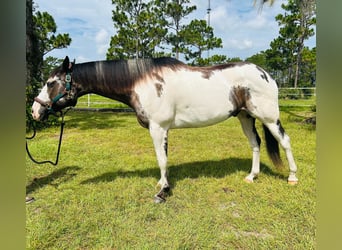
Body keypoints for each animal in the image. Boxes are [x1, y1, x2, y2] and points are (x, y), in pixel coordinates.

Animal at [32, 55, 300, 202]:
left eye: (50, 83)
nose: (35, 111)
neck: (141, 82)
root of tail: (265, 74)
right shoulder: (162, 130)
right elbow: (164, 159)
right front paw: (163, 184)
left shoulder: (158, 128)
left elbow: (162, 159)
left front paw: (163, 191)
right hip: (245, 117)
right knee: (255, 144)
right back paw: (252, 176)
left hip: (269, 117)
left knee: (285, 141)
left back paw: (292, 177)